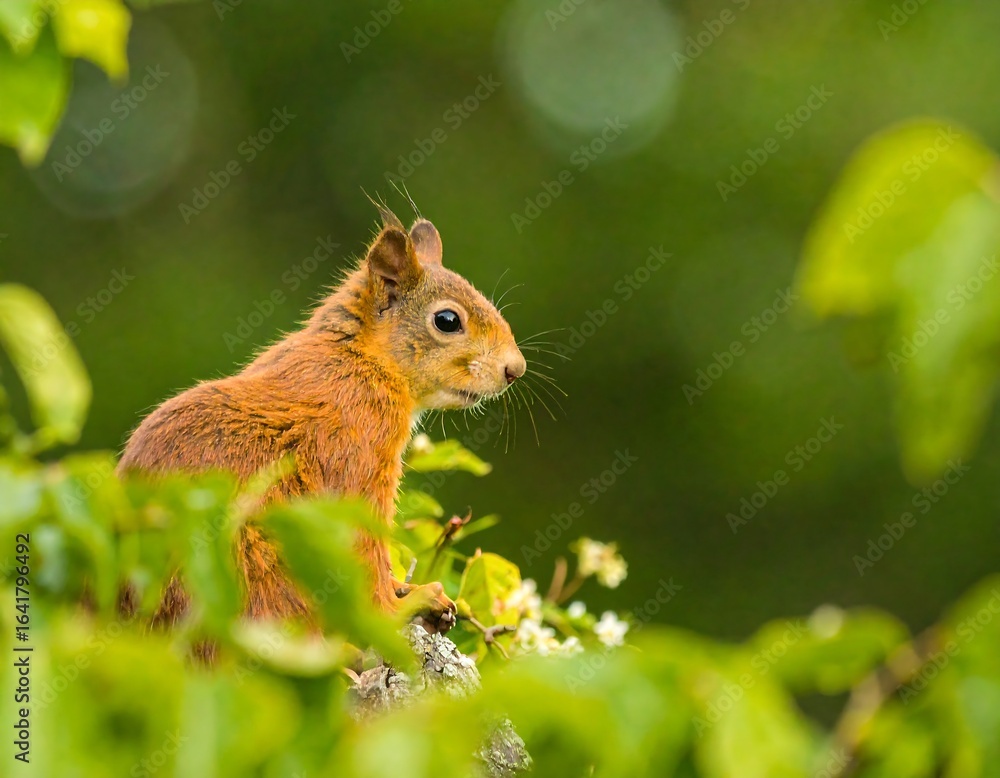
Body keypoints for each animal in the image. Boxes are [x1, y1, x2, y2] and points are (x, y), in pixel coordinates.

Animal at [117, 203, 526, 635]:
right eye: (447, 320)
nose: (515, 369)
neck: (362, 361)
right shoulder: (359, 456)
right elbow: (366, 551)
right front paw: (405, 604)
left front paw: (405, 588)